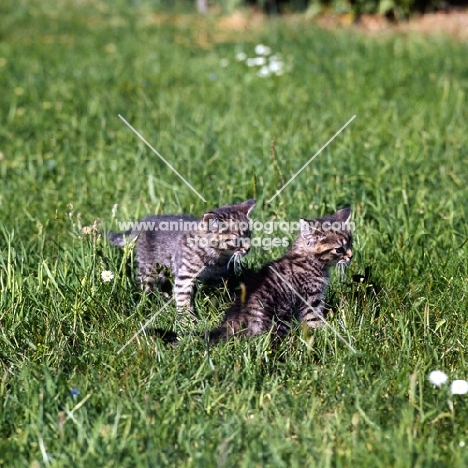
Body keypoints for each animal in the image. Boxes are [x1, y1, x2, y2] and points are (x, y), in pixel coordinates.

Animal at [107, 199, 256, 316]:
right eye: (236, 240)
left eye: (249, 234)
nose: (248, 249)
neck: (216, 257)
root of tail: (141, 223)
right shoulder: (185, 275)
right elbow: (183, 298)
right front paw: (187, 320)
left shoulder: (218, 278)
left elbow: (218, 294)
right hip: (148, 268)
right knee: (144, 286)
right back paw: (145, 303)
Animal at [208, 207, 352, 342]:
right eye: (339, 249)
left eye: (351, 243)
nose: (351, 256)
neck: (308, 260)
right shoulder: (310, 299)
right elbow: (314, 319)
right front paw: (325, 333)